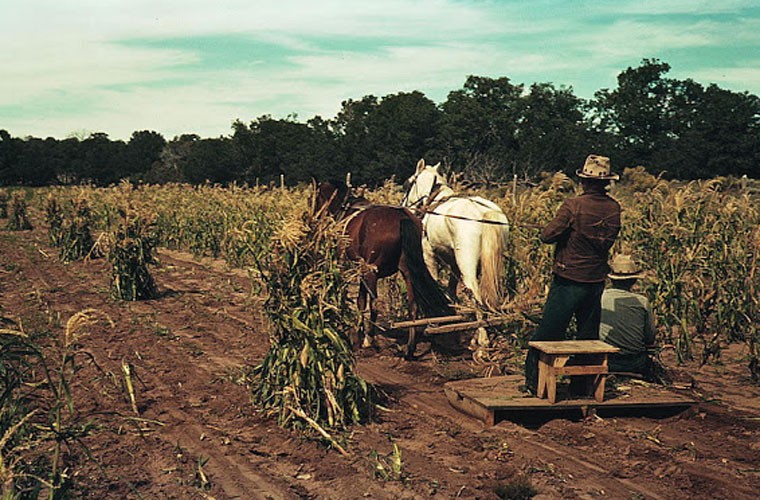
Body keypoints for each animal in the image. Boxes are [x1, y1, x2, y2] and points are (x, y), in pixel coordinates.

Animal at [314, 180, 452, 360]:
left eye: (316, 198)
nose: (314, 218)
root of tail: (402, 218)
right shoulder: (362, 270)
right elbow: (361, 300)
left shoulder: (359, 269)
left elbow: (362, 302)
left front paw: (357, 336)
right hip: (407, 272)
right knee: (413, 306)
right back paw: (409, 349)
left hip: (371, 272)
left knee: (375, 304)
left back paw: (370, 340)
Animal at [400, 160, 508, 348]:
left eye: (408, 183)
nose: (404, 206)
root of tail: (483, 213)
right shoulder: (454, 263)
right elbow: (451, 290)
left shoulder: (429, 256)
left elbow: (435, 283)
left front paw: (434, 322)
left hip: (467, 265)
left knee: (476, 293)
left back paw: (482, 340)